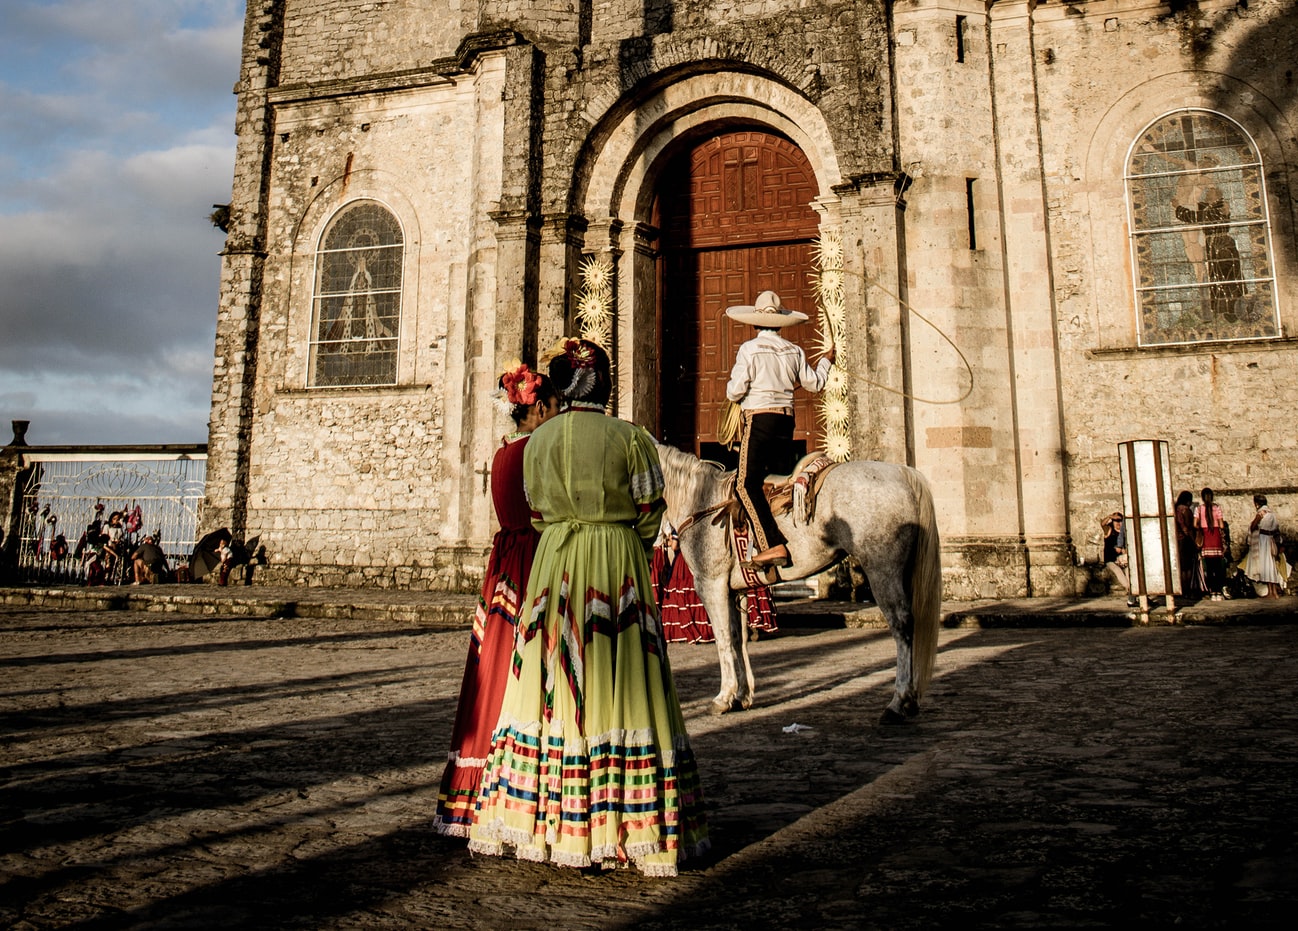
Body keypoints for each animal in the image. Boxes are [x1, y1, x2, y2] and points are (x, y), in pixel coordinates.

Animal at [654, 444, 939, 727]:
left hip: (883, 570)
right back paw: (909, 701)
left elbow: (723, 639)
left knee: (902, 626)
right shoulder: (736, 590)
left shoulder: (710, 583)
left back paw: (898, 703)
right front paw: (742, 697)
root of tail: (904, 474)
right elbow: (738, 639)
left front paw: (723, 698)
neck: (699, 500)